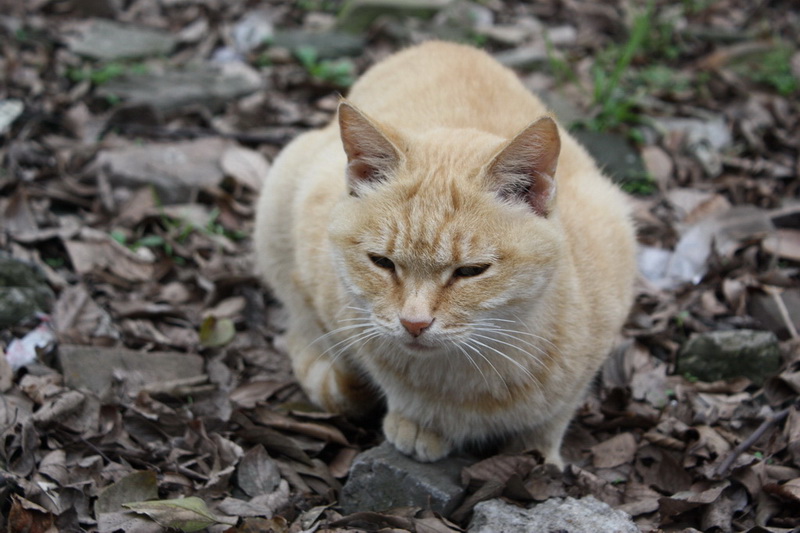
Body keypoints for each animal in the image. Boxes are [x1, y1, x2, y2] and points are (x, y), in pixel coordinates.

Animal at [253, 41, 636, 466]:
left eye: (470, 271)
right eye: (382, 263)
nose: (414, 323)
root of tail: (440, 43)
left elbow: (553, 418)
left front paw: (540, 456)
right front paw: (418, 422)